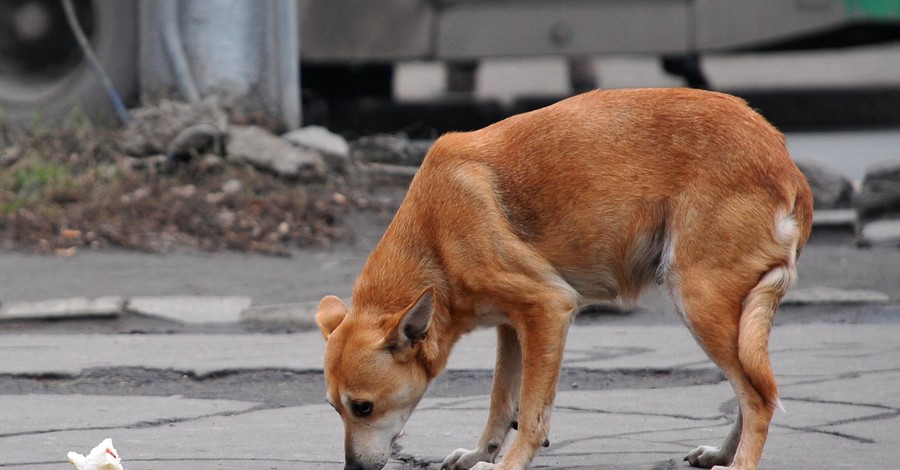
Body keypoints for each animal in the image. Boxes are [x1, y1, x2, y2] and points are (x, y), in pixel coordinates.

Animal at [318, 89, 816, 470]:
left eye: (363, 407)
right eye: (333, 408)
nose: (352, 469)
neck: (434, 236)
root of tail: (786, 162)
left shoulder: (548, 309)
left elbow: (532, 414)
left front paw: (507, 464)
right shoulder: (512, 327)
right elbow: (501, 402)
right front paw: (483, 453)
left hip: (698, 304)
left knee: (759, 399)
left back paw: (740, 463)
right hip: (727, 319)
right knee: (751, 394)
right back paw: (721, 454)